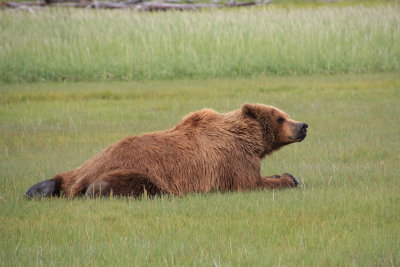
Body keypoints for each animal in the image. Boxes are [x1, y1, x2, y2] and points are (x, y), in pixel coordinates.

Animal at [25, 103, 308, 200]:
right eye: (281, 117)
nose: (303, 125)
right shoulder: (232, 159)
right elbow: (250, 182)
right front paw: (289, 178)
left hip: (81, 166)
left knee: (59, 178)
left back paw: (39, 189)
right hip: (138, 172)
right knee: (117, 184)